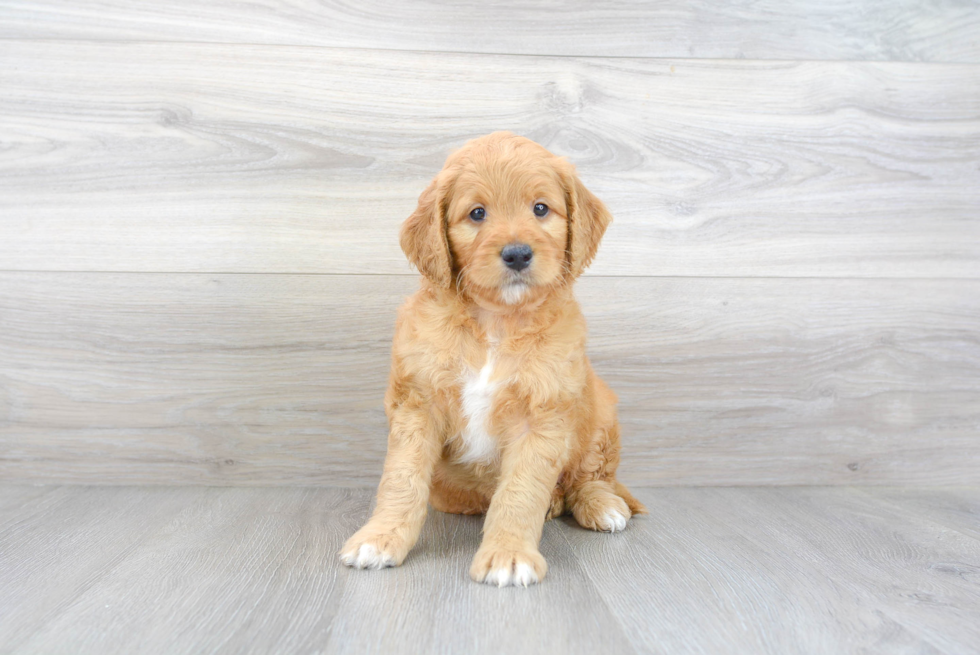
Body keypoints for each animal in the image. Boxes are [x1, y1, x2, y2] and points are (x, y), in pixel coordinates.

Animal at [340, 131, 648, 588]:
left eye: (540, 208)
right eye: (477, 213)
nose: (517, 254)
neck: (496, 323)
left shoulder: (543, 413)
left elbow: (520, 492)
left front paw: (508, 555)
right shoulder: (418, 404)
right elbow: (402, 479)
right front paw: (379, 539)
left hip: (600, 415)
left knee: (590, 476)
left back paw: (601, 505)